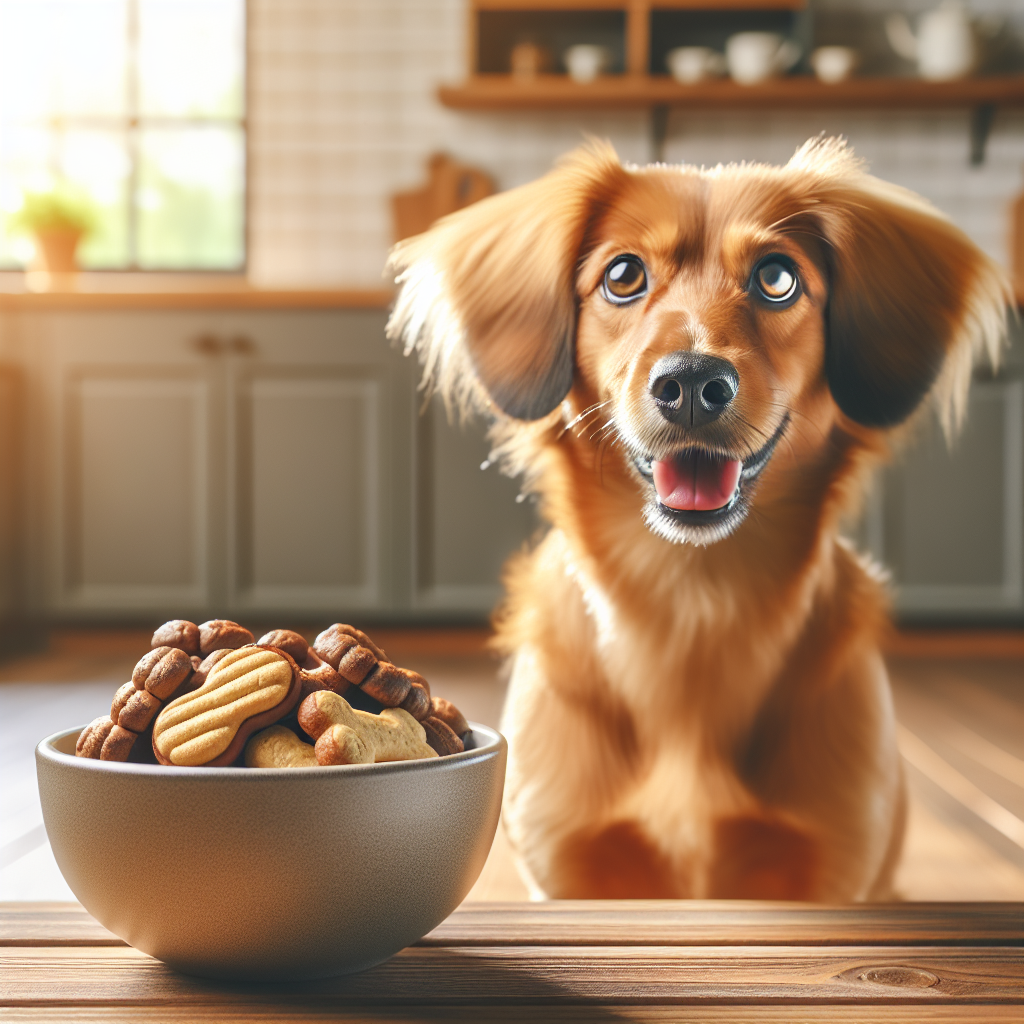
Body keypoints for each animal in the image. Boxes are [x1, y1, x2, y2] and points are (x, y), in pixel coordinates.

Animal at [385, 140, 1007, 901]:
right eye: (623, 275)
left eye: (777, 278)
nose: (689, 384)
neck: (692, 602)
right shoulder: (569, 867)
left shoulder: (832, 868)